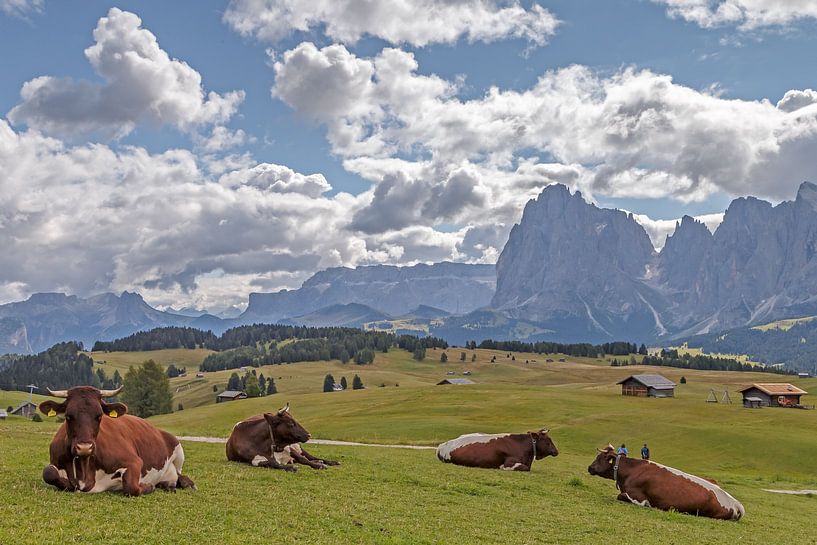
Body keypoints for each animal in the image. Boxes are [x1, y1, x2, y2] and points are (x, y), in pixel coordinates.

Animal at [38, 386, 195, 495]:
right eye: (68, 416)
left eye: (99, 416)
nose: (84, 447)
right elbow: (49, 473)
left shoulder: (134, 461)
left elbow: (131, 487)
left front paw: (148, 486)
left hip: (179, 452)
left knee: (180, 474)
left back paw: (185, 483)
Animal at [587, 444, 744, 520]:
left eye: (599, 457)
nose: (589, 467)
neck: (630, 471)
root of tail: (735, 503)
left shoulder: (639, 498)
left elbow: (621, 496)